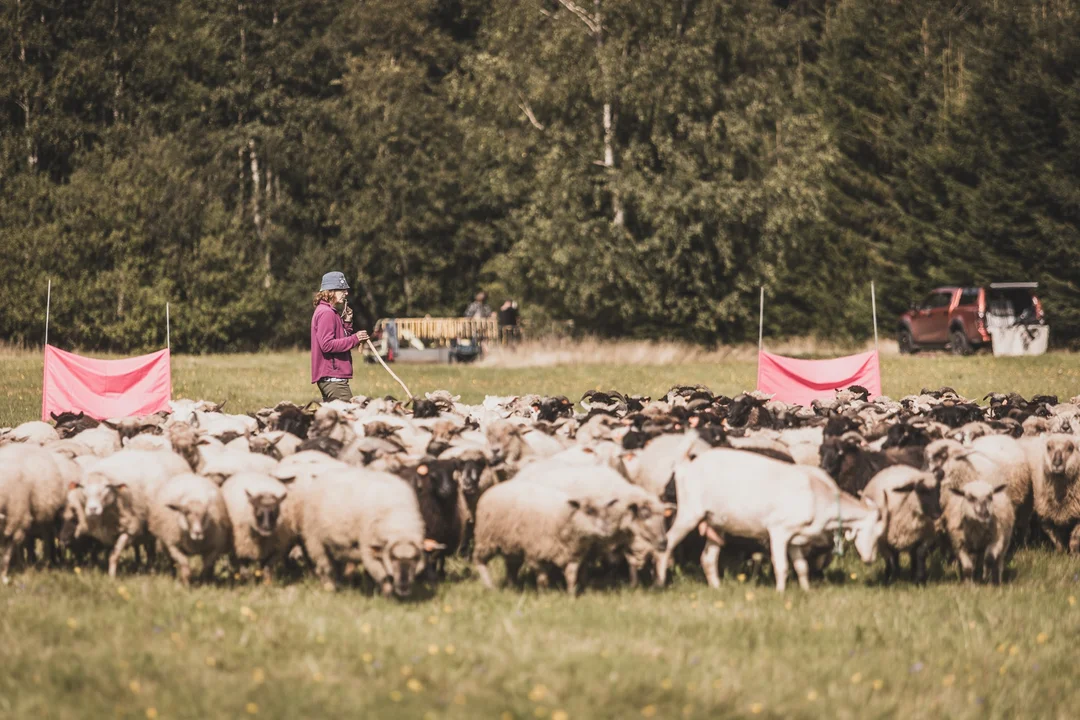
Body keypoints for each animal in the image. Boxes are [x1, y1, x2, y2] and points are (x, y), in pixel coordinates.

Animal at [475, 481, 617, 595]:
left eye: (607, 513)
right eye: (589, 511)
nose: (608, 531)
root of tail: (496, 486)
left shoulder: (574, 555)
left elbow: (571, 576)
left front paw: (571, 595)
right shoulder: (534, 555)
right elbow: (542, 578)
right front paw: (544, 594)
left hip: (511, 545)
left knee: (511, 567)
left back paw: (512, 587)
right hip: (486, 539)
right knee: (479, 561)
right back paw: (489, 586)